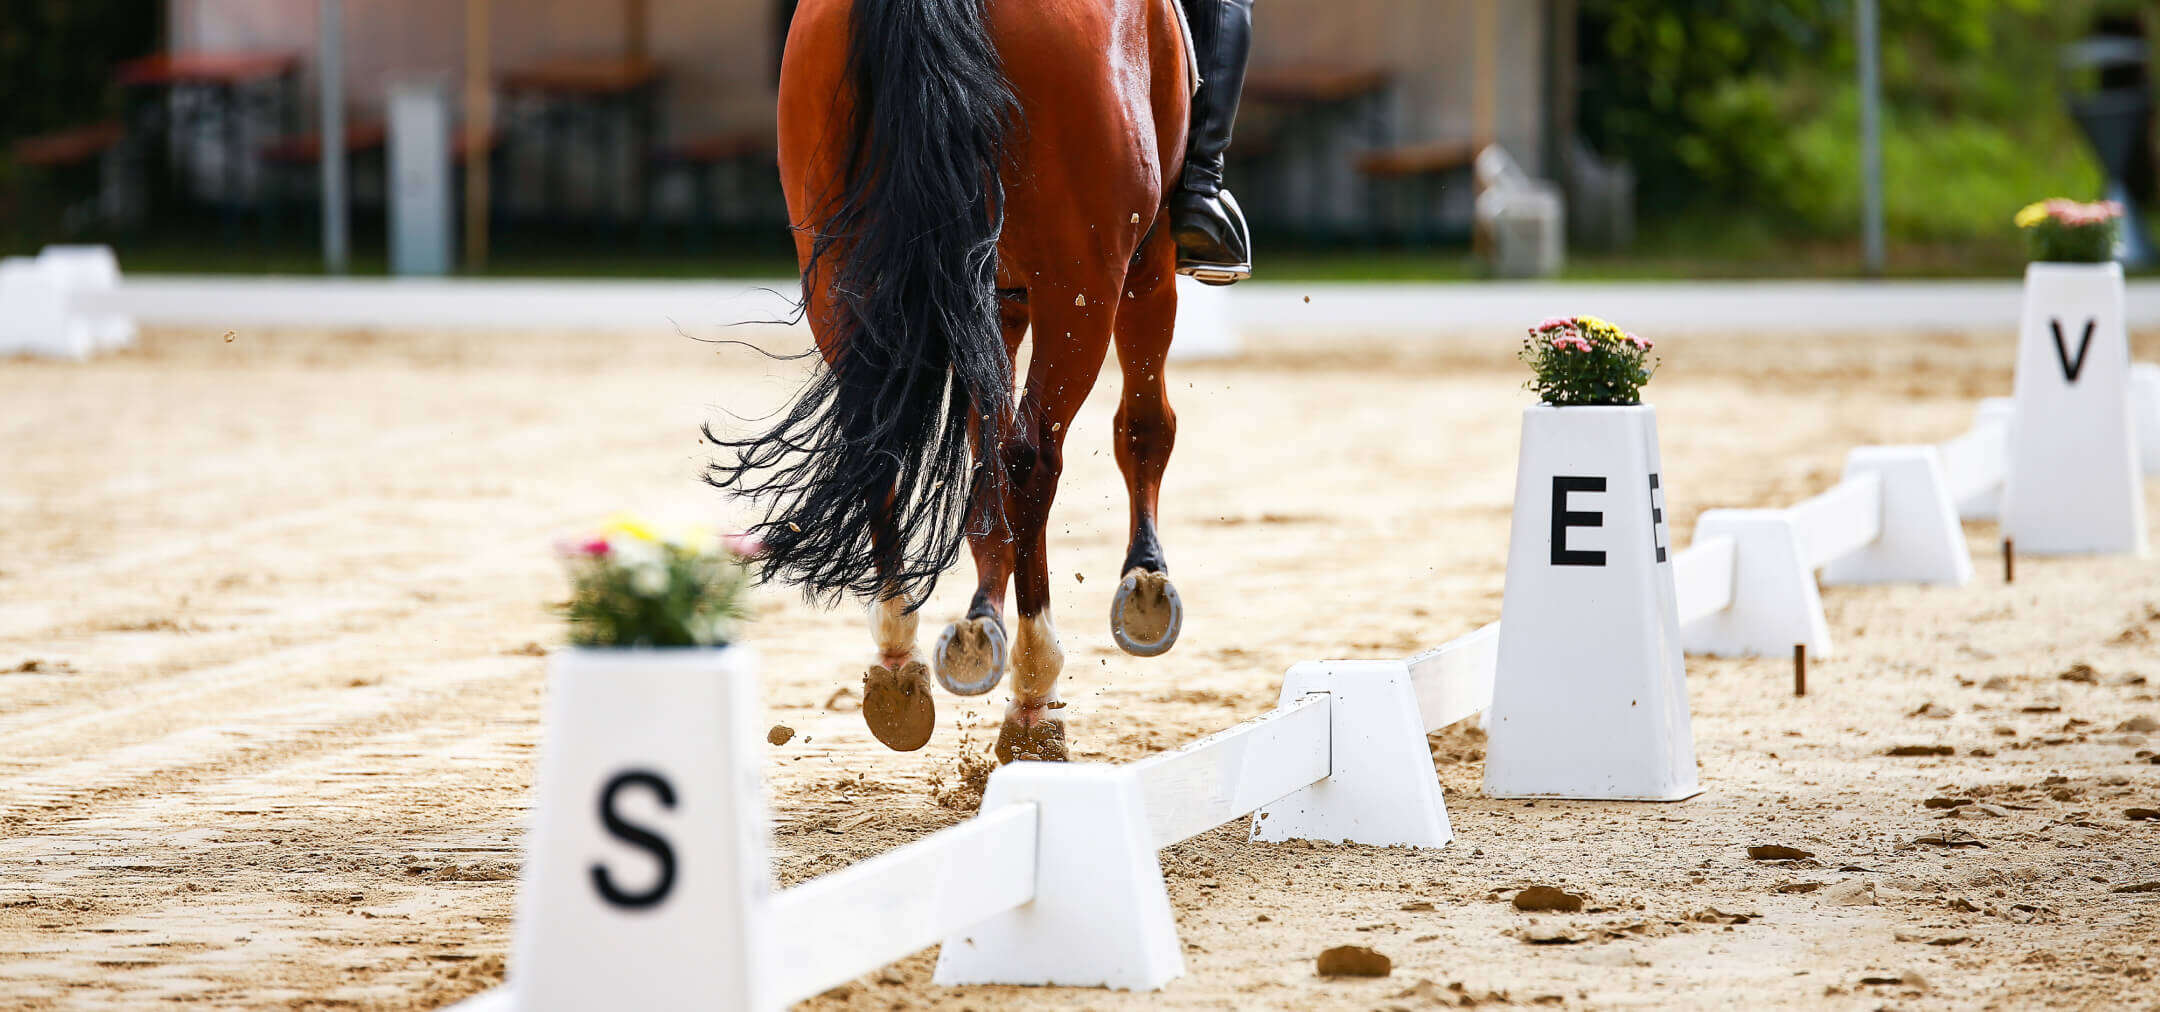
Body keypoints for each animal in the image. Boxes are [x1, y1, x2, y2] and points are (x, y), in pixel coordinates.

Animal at [710, 0, 1195, 764]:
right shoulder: (1147, 259)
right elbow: (1143, 424)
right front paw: (1145, 582)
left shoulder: (992, 294)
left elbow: (982, 459)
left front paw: (980, 614)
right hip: (1084, 281)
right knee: (1034, 456)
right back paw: (1032, 694)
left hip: (842, 266)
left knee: (883, 445)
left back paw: (901, 666)